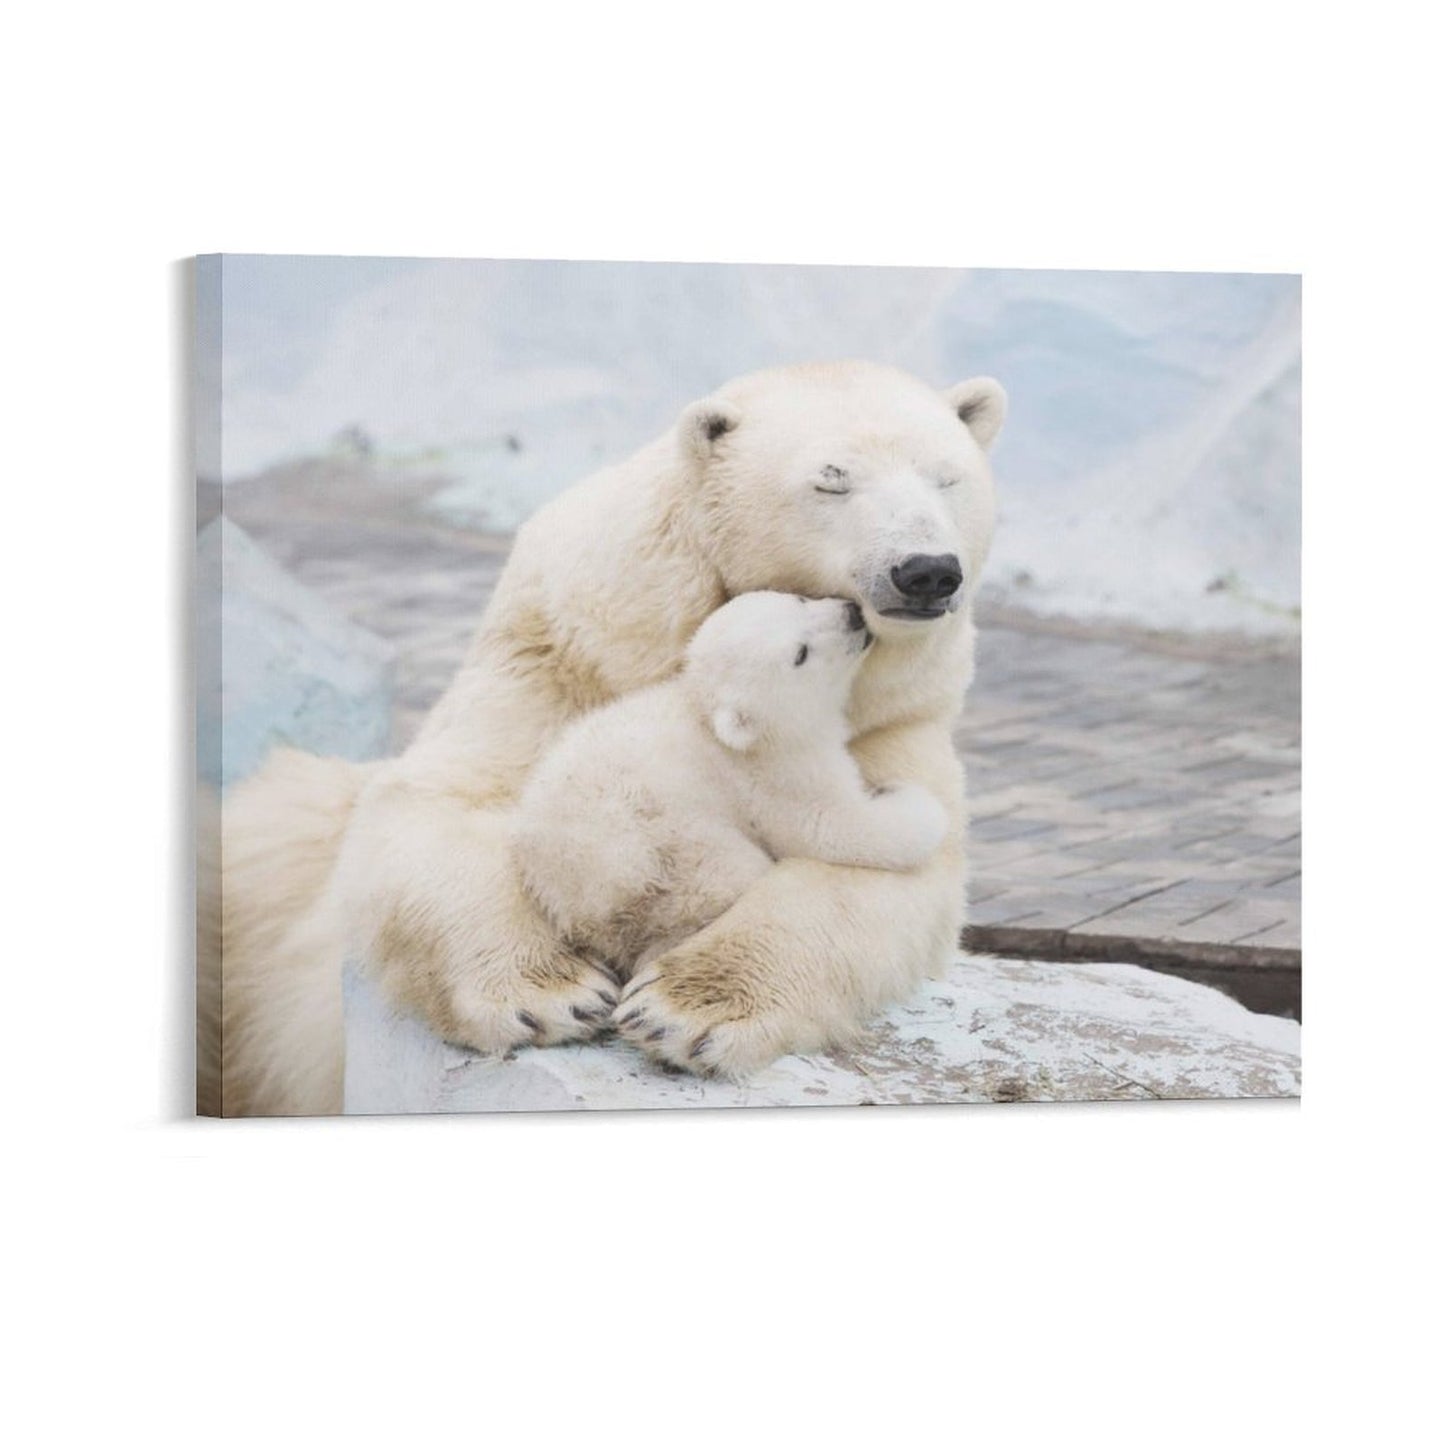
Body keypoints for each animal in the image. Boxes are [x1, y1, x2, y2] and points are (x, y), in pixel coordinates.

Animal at [512, 590, 950, 1030]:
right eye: (800, 654)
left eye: (799, 598)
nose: (853, 615)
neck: (711, 718)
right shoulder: (774, 773)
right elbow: (834, 827)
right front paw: (907, 797)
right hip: (668, 854)